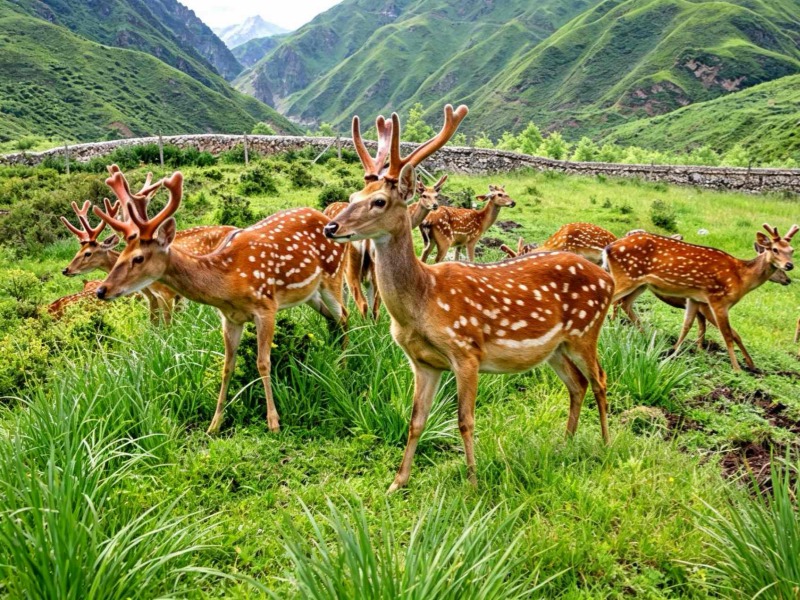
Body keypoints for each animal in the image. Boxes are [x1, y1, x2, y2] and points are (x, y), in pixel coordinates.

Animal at [60, 171, 235, 324]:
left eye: (88, 253)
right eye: (78, 251)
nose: (66, 270)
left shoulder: (165, 294)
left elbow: (167, 324)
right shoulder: (154, 296)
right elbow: (155, 322)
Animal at [92, 167, 348, 434]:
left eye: (139, 258)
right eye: (121, 253)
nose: (102, 290)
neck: (227, 283)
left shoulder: (266, 306)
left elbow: (263, 362)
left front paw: (274, 422)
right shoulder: (230, 318)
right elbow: (227, 366)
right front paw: (214, 424)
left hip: (333, 275)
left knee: (345, 315)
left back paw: (342, 367)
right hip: (310, 293)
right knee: (332, 318)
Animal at [604, 224, 797, 370]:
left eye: (792, 250)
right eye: (775, 249)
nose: (789, 267)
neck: (741, 279)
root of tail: (609, 248)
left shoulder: (695, 299)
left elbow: (687, 325)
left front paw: (673, 351)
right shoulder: (717, 299)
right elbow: (728, 335)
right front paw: (737, 368)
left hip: (640, 283)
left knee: (625, 304)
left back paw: (645, 335)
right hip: (627, 276)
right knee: (613, 300)